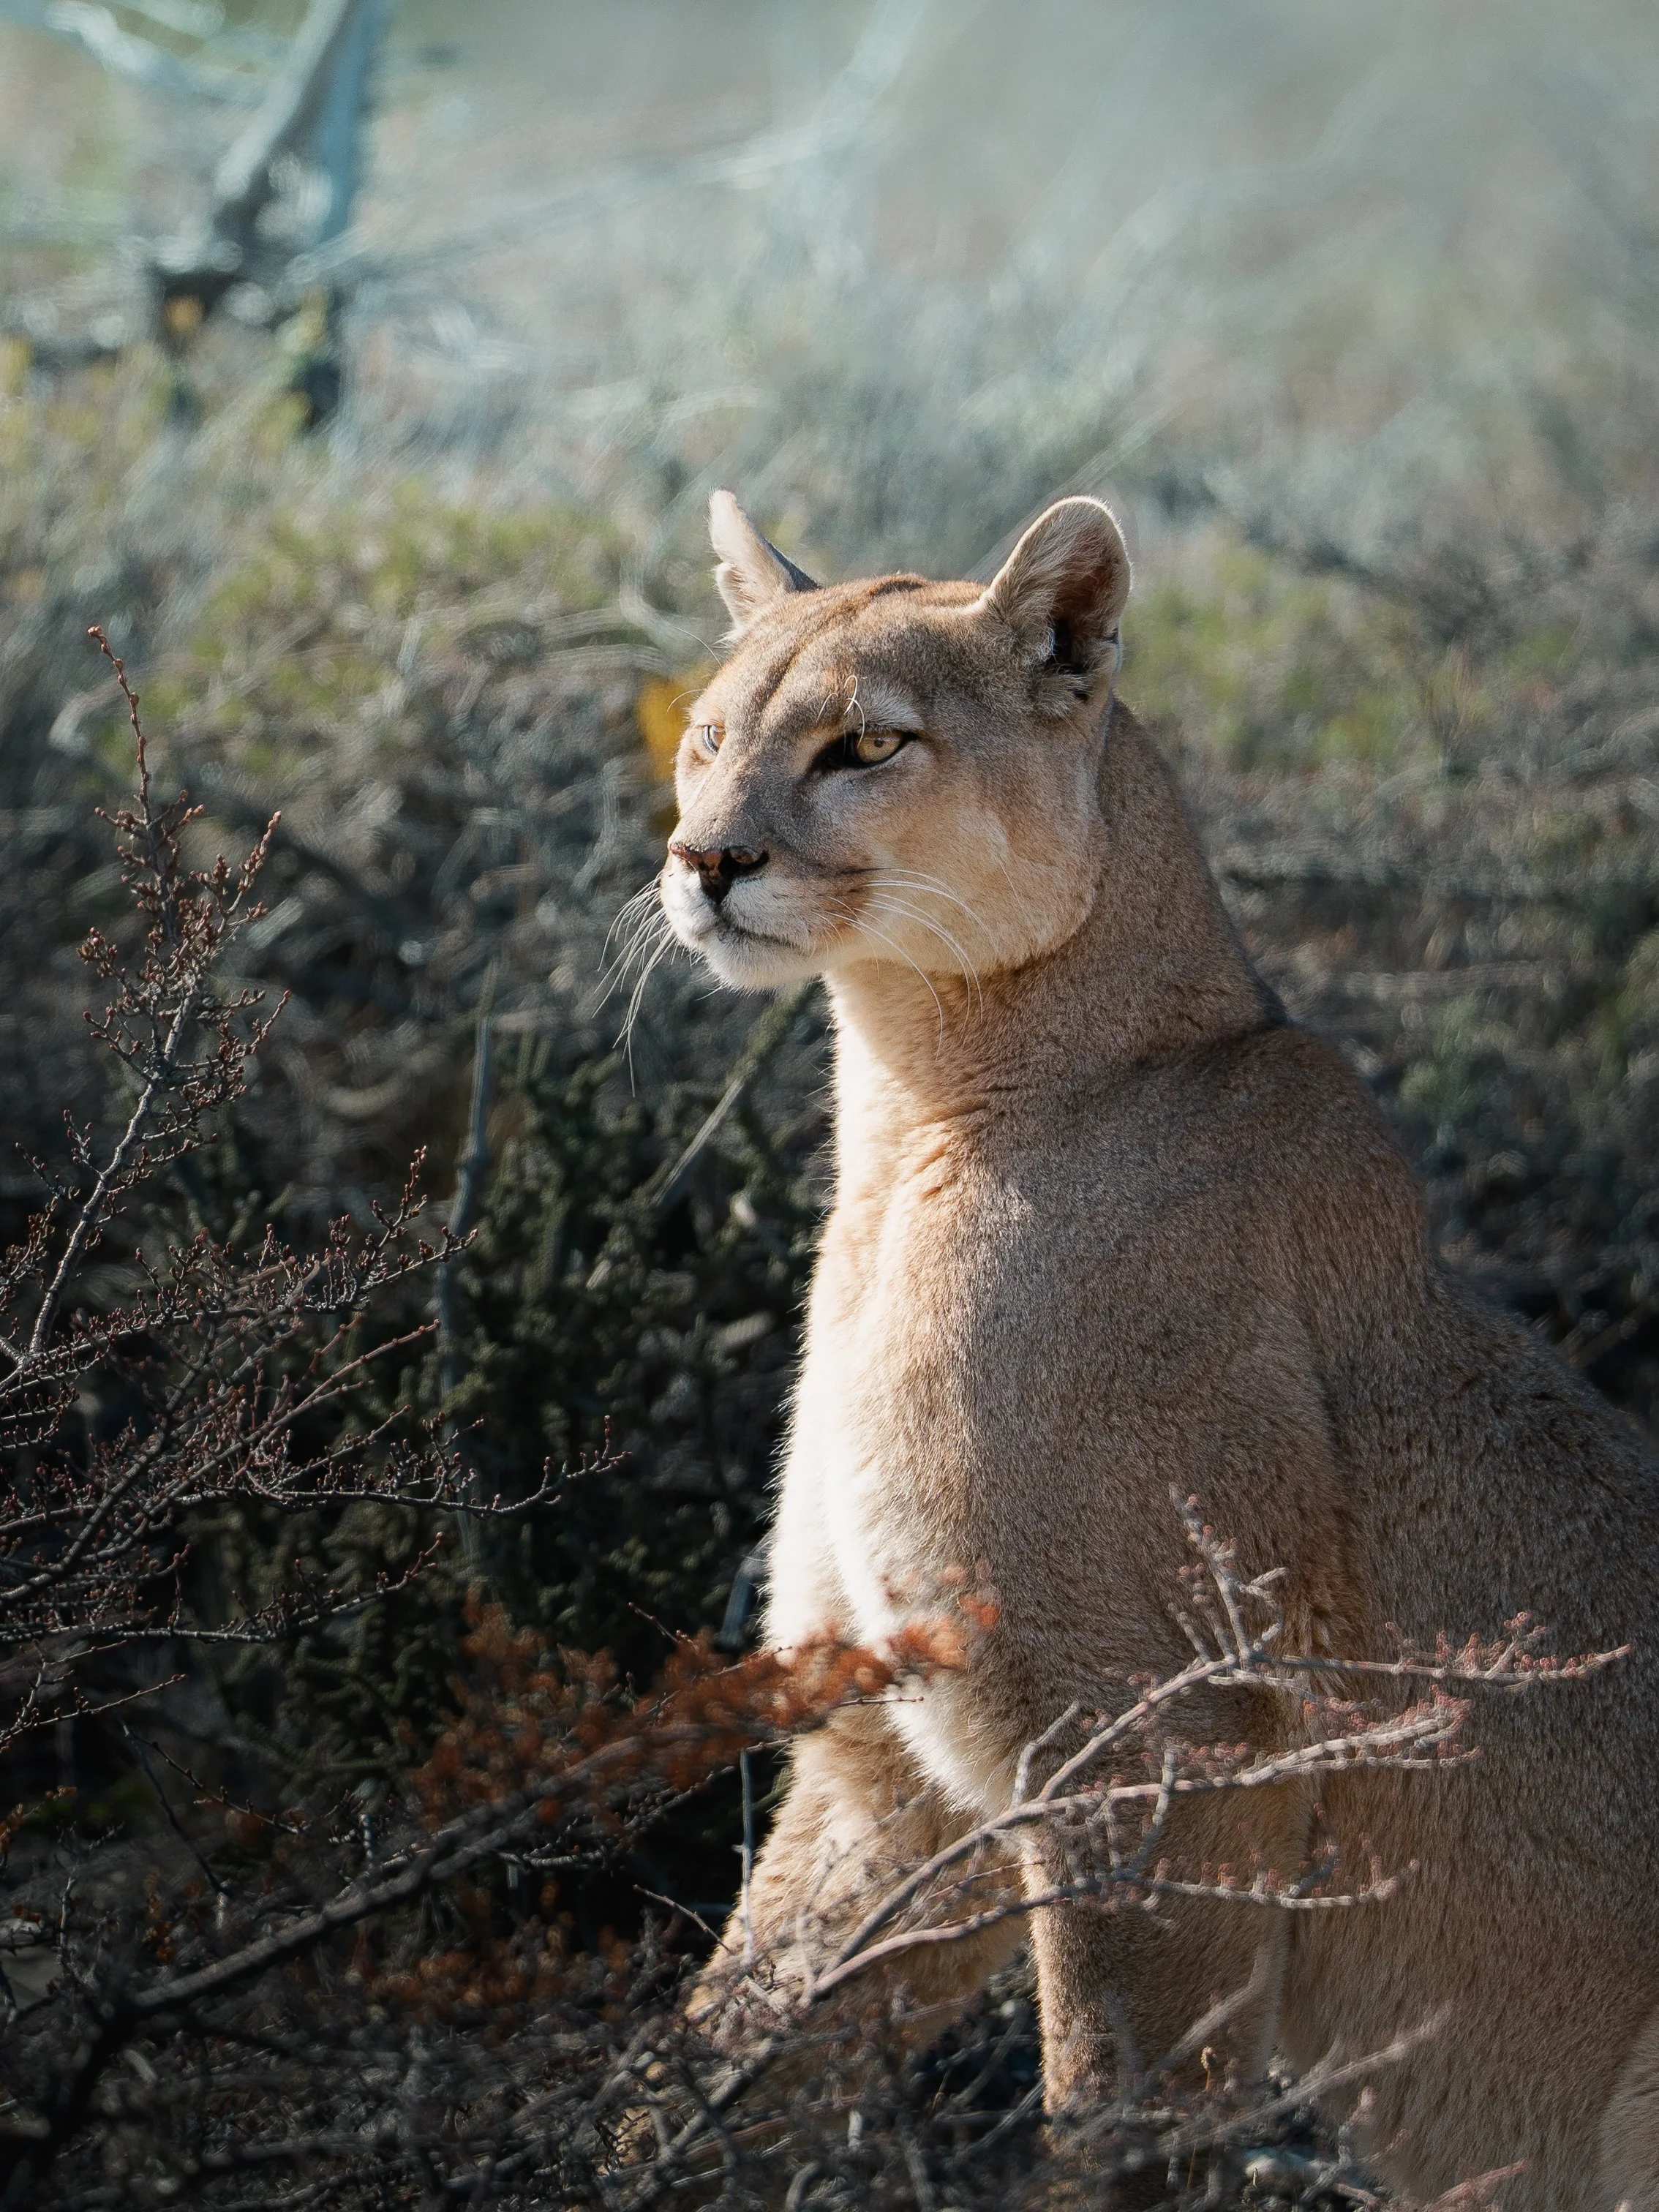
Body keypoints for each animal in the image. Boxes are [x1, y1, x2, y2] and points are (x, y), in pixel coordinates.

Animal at [651, 487, 1659, 2208]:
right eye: (707, 736)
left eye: (867, 743)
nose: (704, 859)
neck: (918, 1119)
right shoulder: (883, 1756)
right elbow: (715, 2055)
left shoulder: (1161, 1746)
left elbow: (1115, 2119)